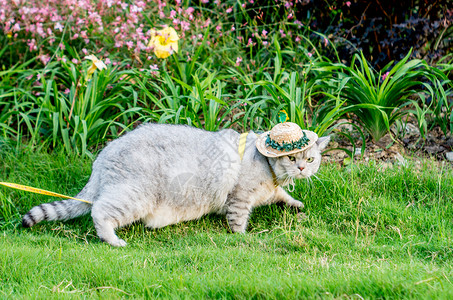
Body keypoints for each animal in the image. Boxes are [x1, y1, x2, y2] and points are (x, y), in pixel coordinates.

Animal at [21, 122, 328, 246]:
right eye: (290, 156)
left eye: (310, 158)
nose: (301, 168)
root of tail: (103, 155)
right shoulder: (239, 197)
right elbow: (238, 220)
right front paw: (242, 236)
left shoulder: (270, 191)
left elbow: (282, 195)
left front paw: (295, 203)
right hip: (135, 196)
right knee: (99, 211)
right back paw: (113, 240)